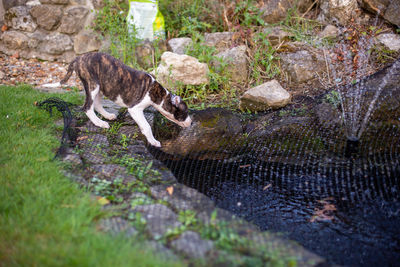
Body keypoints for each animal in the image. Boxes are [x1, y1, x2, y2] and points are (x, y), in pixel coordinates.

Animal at [45, 51, 192, 149]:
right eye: (185, 112)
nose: (190, 122)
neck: (158, 94)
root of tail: (78, 58)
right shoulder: (134, 109)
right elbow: (146, 126)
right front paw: (153, 141)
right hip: (92, 84)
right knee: (87, 107)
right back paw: (100, 123)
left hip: (101, 86)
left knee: (96, 104)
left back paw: (107, 116)